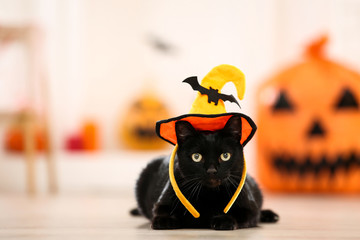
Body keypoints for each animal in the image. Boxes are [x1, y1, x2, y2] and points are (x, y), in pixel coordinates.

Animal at [132, 116, 278, 231]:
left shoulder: (249, 208)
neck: (209, 194)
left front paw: (223, 220)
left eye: (225, 155)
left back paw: (270, 215)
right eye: (196, 157)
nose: (212, 170)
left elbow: (241, 213)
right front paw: (164, 220)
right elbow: (161, 210)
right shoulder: (163, 201)